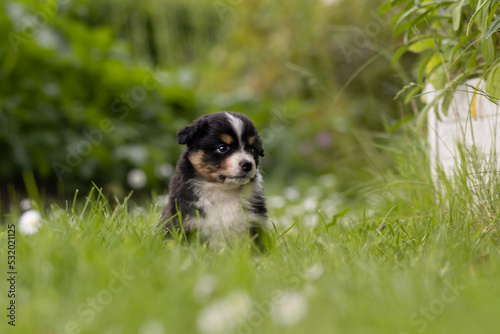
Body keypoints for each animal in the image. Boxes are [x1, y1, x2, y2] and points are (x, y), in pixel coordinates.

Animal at [160, 111, 270, 244]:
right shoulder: (184, 221)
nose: (247, 165)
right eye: (222, 148)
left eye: (252, 149)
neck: (222, 190)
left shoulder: (256, 222)